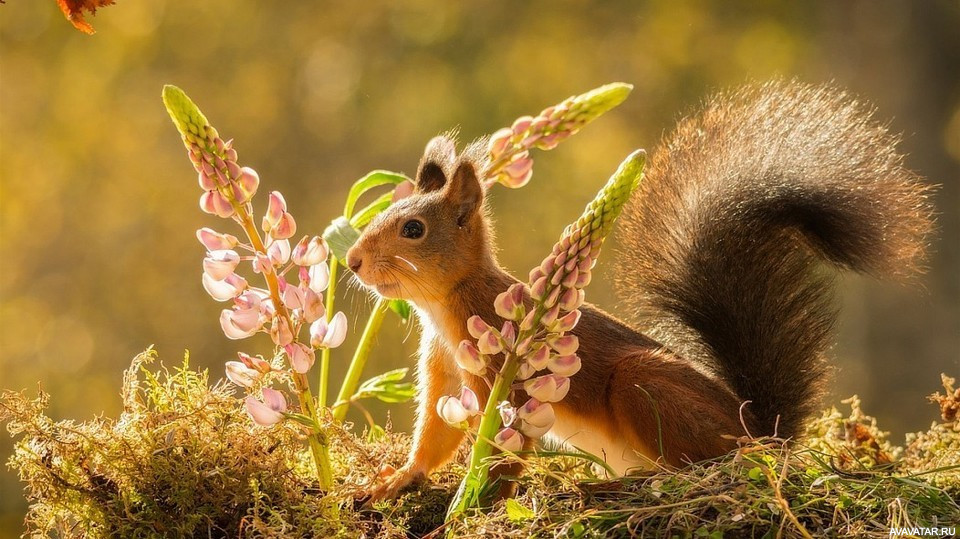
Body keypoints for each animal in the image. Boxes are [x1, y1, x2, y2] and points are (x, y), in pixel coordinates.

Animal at [344, 81, 928, 502]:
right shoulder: (444, 368)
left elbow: (504, 449)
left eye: (413, 229)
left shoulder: (508, 380)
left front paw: (480, 500)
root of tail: (759, 432)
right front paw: (400, 478)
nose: (351, 260)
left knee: (695, 469)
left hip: (642, 387)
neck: (445, 304)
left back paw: (628, 483)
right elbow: (435, 436)